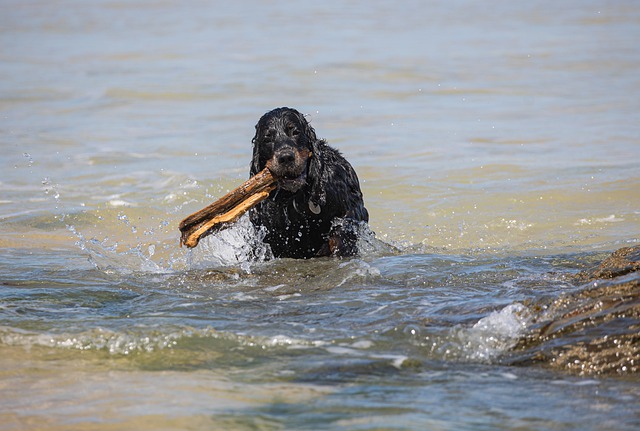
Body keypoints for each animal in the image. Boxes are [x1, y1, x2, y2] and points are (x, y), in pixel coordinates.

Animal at [250, 107, 370, 260]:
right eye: (267, 138)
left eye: (295, 132)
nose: (286, 157)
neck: (295, 195)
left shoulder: (349, 208)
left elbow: (341, 232)